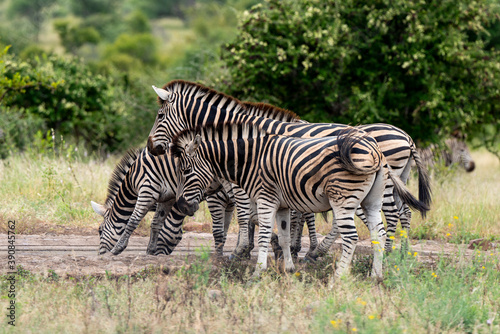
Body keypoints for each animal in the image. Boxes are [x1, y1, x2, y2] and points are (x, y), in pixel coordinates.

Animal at [147, 81, 430, 256]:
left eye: (160, 116)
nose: (151, 147)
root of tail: (407, 137)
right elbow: (272, 214)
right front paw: (275, 246)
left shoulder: (246, 178)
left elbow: (247, 214)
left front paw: (245, 249)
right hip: (397, 180)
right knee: (404, 213)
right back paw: (400, 252)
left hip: (381, 185)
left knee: (390, 216)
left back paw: (385, 252)